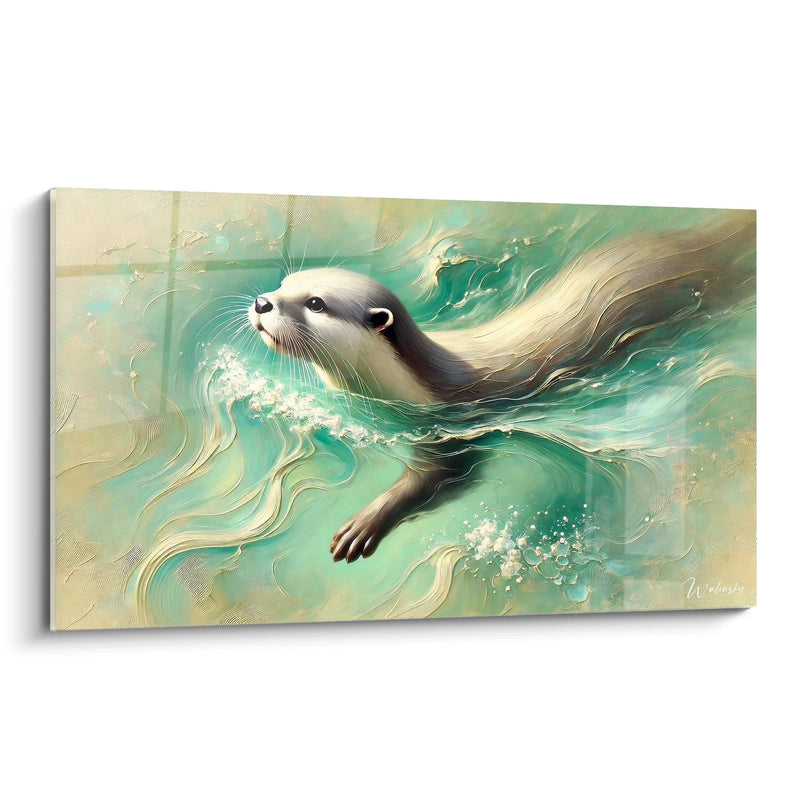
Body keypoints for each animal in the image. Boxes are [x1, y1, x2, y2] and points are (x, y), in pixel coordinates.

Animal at [248, 212, 755, 563]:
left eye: (316, 303)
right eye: (285, 282)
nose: (261, 301)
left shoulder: (451, 428)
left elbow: (450, 477)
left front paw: (367, 521)